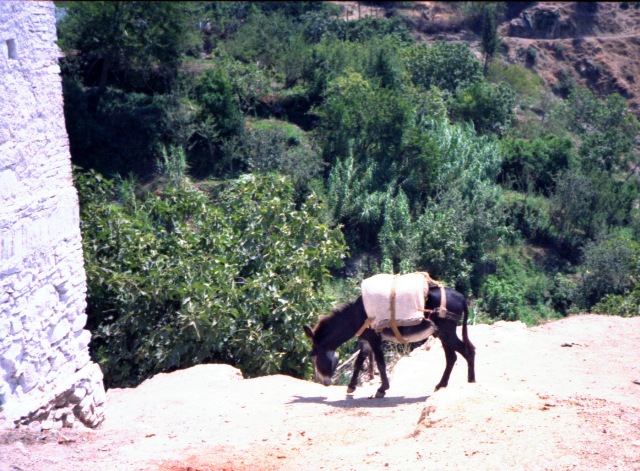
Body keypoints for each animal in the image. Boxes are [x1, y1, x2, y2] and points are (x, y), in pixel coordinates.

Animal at [303, 285, 476, 398]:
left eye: (314, 356)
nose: (324, 382)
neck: (355, 316)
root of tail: (461, 298)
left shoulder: (374, 339)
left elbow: (380, 363)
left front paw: (382, 389)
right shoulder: (366, 341)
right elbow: (358, 363)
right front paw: (351, 387)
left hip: (446, 332)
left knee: (468, 351)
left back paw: (471, 382)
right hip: (441, 333)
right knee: (452, 357)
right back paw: (441, 385)